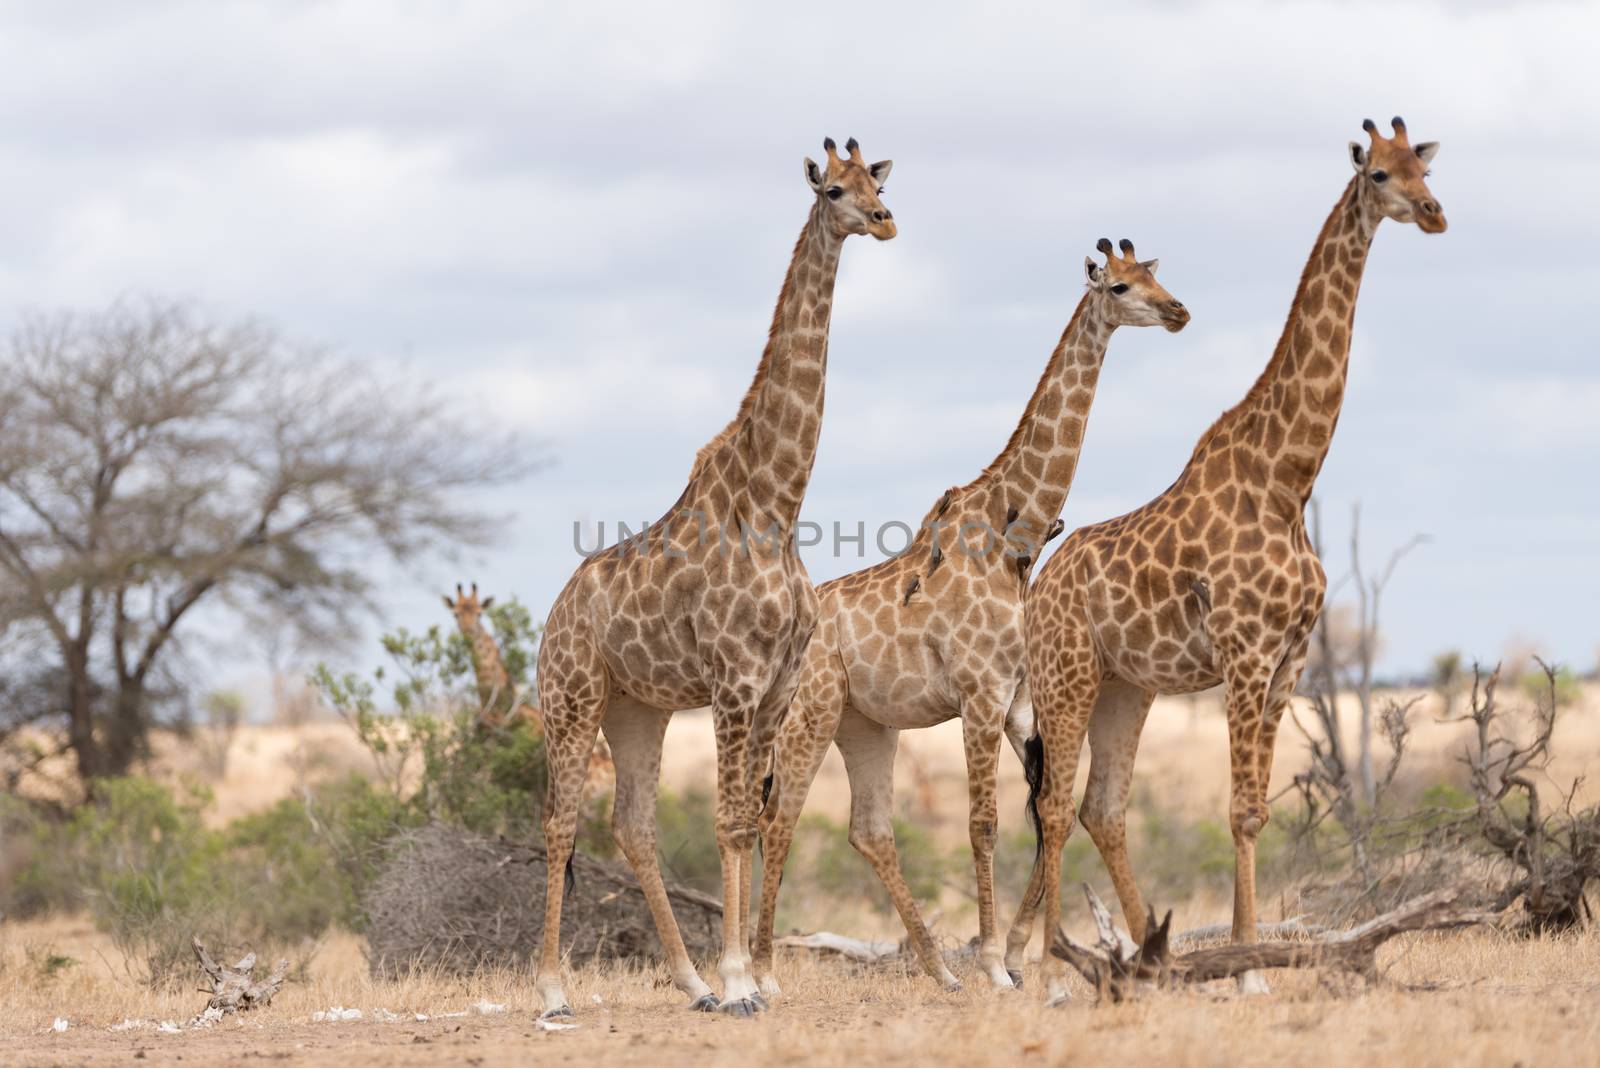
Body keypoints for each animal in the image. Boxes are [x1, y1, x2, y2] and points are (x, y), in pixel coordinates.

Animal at [531, 135, 896, 1016]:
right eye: (833, 190)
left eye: (875, 180)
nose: (884, 220)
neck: (777, 504)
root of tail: (553, 613)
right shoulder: (735, 680)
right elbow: (732, 821)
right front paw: (738, 981)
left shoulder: (777, 687)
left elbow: (750, 821)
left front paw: (740, 977)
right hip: (572, 696)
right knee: (560, 822)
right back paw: (554, 990)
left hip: (638, 709)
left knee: (633, 822)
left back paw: (687, 980)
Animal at [748, 238, 1190, 997]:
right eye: (1123, 286)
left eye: (1158, 275)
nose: (1178, 312)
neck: (1014, 534)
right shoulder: (979, 694)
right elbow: (984, 823)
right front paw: (994, 964)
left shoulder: (1017, 700)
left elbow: (1047, 814)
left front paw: (1011, 955)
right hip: (812, 711)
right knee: (782, 815)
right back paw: (766, 971)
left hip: (866, 724)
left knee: (869, 828)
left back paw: (935, 968)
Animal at [1011, 120, 1452, 1004]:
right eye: (1380, 175)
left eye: (1425, 168)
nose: (1434, 214)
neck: (1287, 480)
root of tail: (1037, 587)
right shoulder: (1246, 653)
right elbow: (1238, 810)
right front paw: (1250, 972)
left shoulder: (1290, 659)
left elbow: (1255, 810)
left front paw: (1236, 964)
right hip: (1065, 676)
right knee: (1055, 806)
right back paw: (1055, 967)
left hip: (1127, 687)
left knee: (1101, 807)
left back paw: (1149, 956)